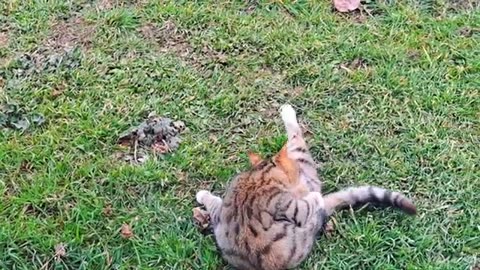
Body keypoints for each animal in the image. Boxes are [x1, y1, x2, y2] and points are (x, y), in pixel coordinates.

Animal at [195, 104, 416, 270]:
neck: (258, 178)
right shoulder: (288, 203)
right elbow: (307, 202)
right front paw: (314, 197)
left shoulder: (223, 214)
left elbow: (214, 203)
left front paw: (202, 194)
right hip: (305, 165)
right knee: (297, 141)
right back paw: (287, 111)